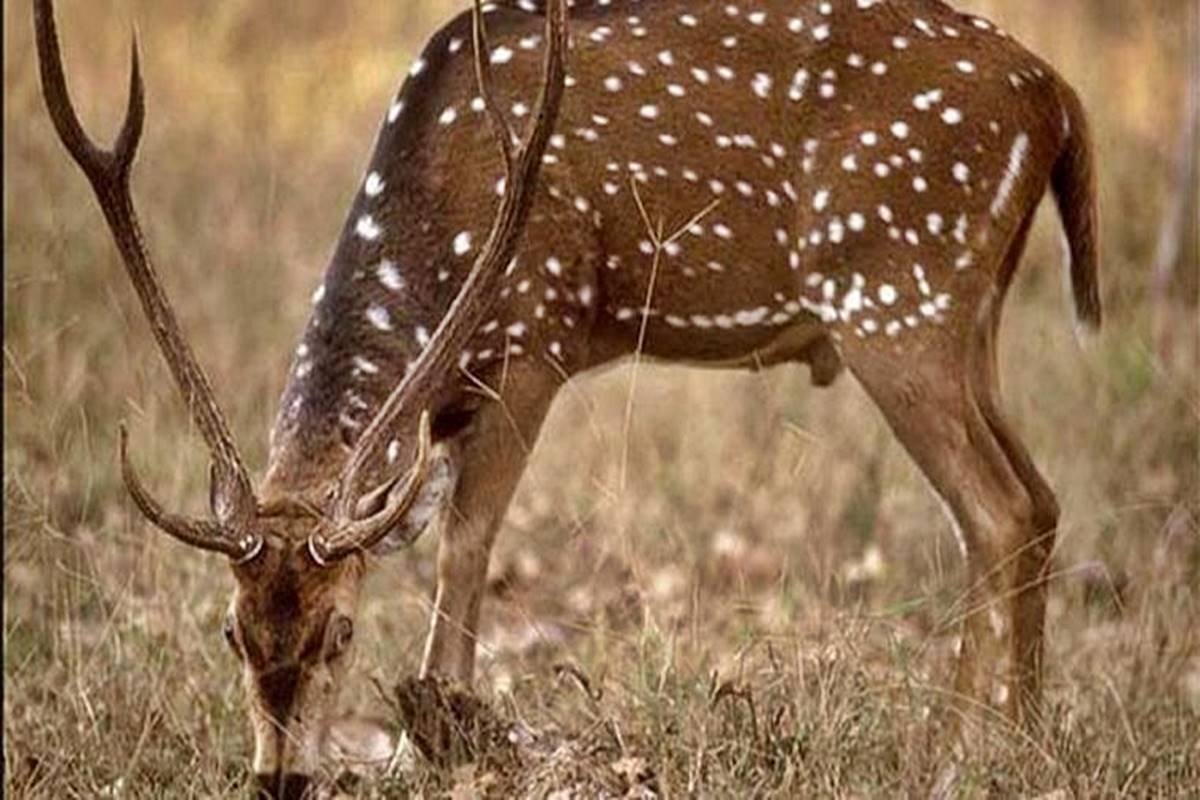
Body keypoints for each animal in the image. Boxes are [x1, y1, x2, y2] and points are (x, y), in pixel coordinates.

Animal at [36, 0, 1099, 795]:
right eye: (231, 628)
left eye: (342, 631)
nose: (281, 779)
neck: (443, 217)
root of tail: (1058, 98)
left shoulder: (537, 339)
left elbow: (466, 544)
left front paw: (440, 738)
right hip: (969, 317)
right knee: (1042, 499)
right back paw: (1024, 743)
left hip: (897, 297)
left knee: (996, 510)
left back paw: (960, 754)